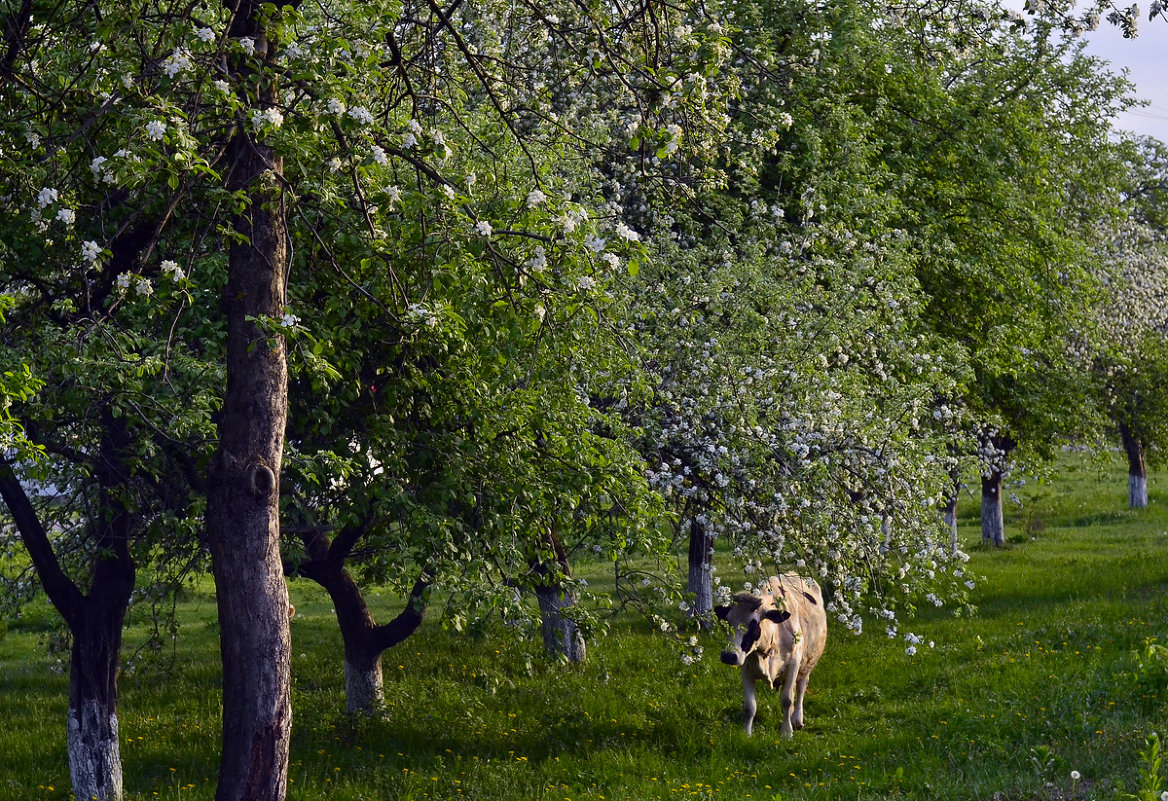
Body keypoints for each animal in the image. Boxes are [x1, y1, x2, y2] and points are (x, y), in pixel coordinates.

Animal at [714, 574, 826, 737]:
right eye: (727, 620)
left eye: (753, 623)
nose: (728, 656)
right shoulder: (746, 669)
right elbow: (750, 706)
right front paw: (747, 734)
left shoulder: (794, 664)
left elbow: (787, 699)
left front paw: (787, 732)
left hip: (807, 664)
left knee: (801, 688)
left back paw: (797, 719)